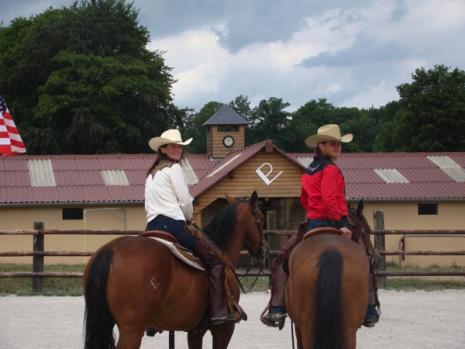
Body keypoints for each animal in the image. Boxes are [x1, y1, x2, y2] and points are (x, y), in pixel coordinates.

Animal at [84, 190, 264, 348]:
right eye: (260, 219)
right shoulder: (224, 329)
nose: (263, 251)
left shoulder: (195, 331)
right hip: (132, 330)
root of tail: (110, 250)